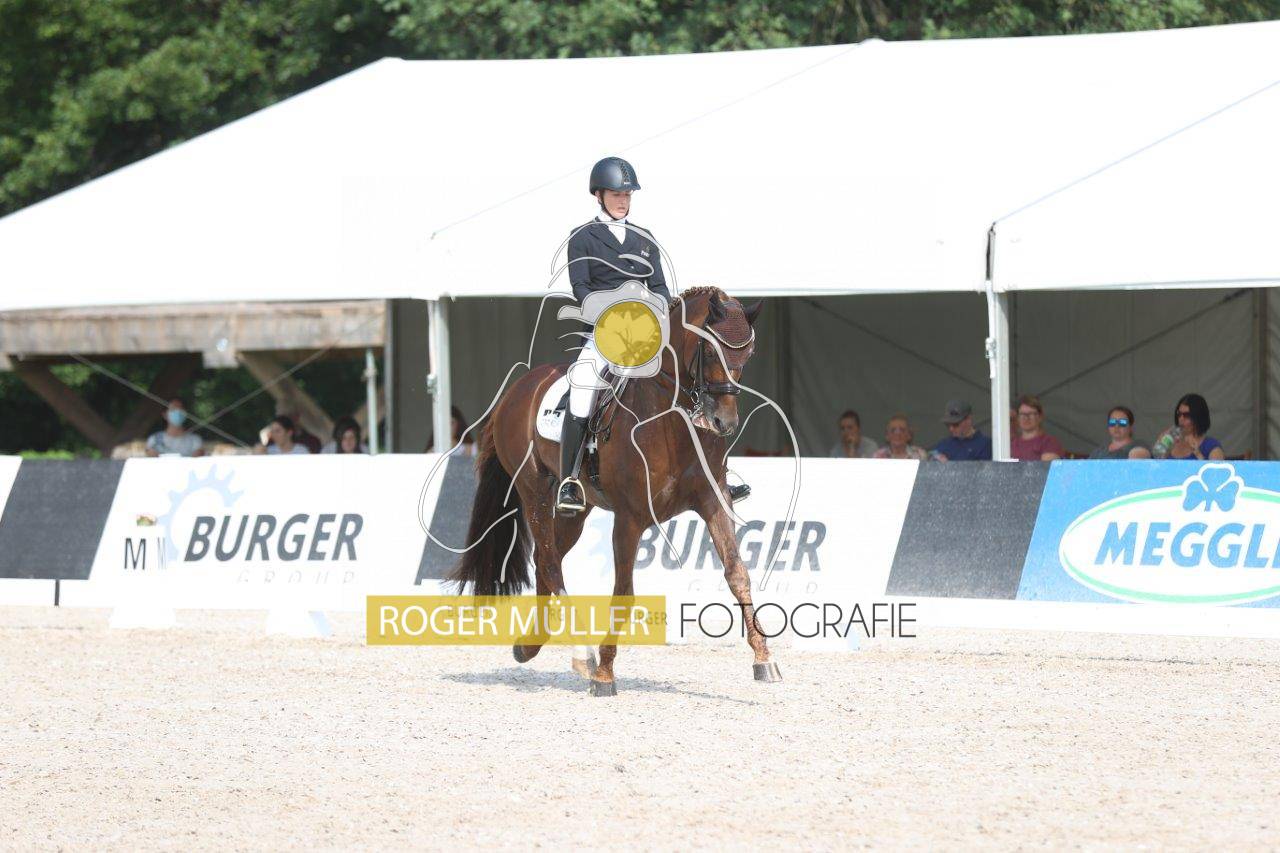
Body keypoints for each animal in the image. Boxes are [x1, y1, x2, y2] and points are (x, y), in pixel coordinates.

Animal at [448, 286, 780, 696]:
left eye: (747, 355)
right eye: (708, 350)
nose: (724, 423)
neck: (670, 418)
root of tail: (518, 389)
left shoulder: (713, 502)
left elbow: (737, 573)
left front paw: (764, 658)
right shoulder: (630, 518)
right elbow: (623, 591)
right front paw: (605, 673)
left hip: (576, 510)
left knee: (546, 560)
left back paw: (530, 646)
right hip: (534, 493)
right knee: (550, 563)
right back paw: (582, 653)